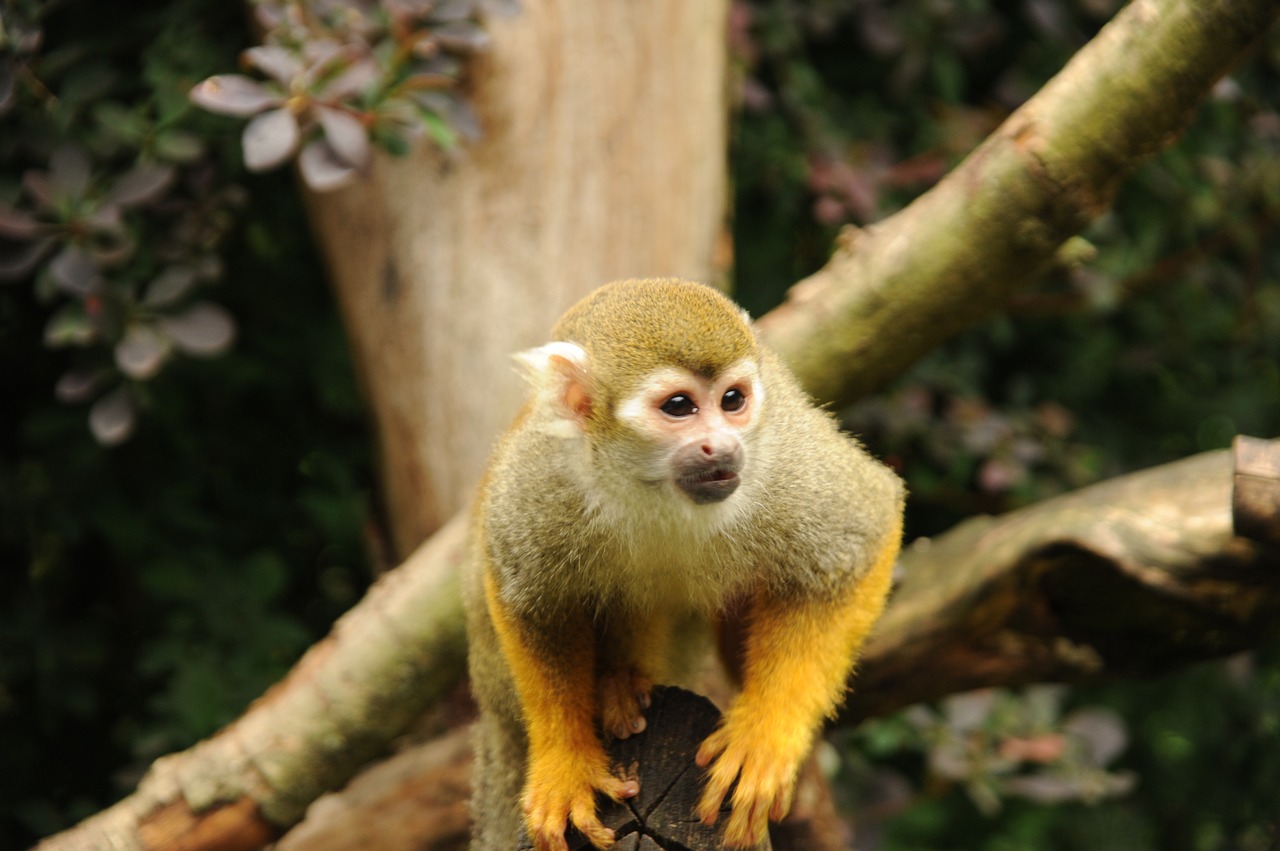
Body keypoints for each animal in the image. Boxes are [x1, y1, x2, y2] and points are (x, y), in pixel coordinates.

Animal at [465, 280, 906, 849]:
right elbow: (530, 599)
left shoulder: (780, 457)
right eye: (679, 406)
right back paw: (618, 684)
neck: (650, 489)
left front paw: (765, 736)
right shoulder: (540, 473)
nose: (722, 445)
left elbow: (863, 534)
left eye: (733, 400)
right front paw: (566, 764)